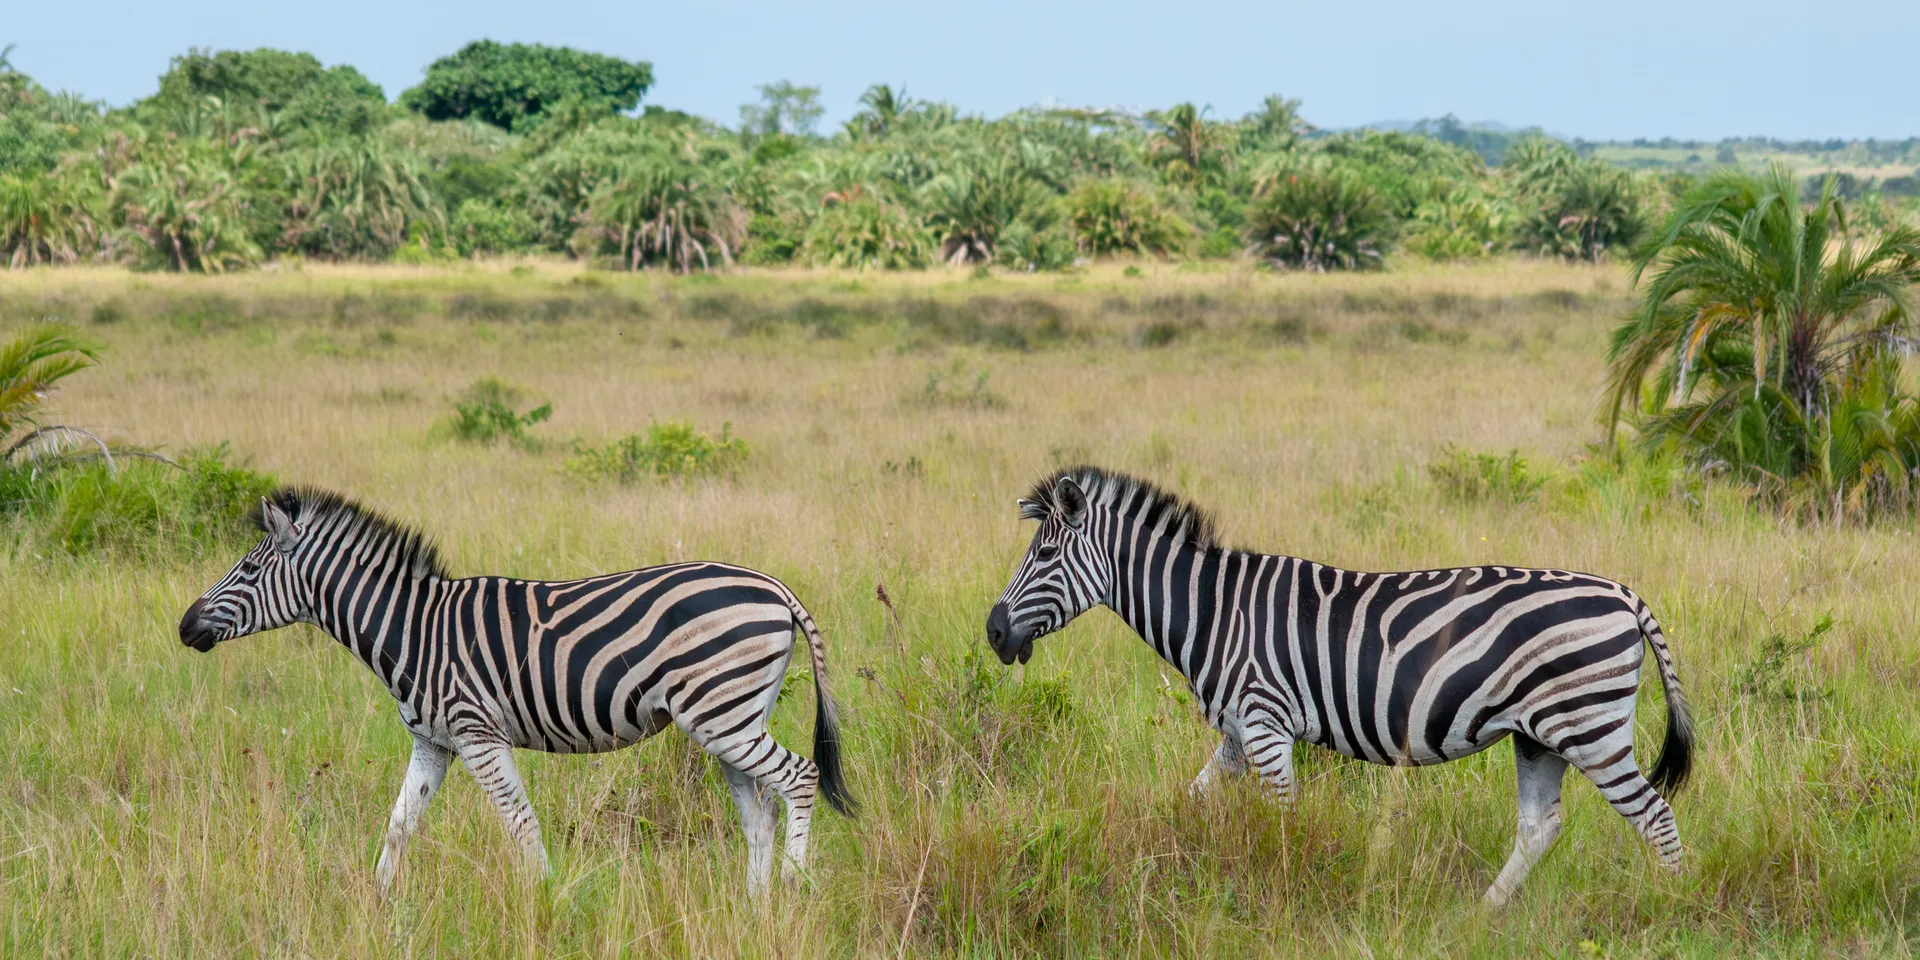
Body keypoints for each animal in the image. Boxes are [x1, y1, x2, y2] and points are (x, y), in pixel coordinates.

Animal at [178, 487, 854, 897]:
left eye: (248, 570)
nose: (185, 627)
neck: (413, 630)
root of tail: (773, 586)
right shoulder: (434, 743)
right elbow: (400, 826)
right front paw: (377, 904)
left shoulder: (478, 734)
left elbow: (520, 825)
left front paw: (548, 904)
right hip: (728, 716)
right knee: (760, 811)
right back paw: (753, 909)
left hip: (723, 713)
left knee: (800, 776)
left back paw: (790, 892)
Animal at [984, 466, 1693, 906]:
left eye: (1044, 556)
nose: (992, 632)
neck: (1214, 610)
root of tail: (1623, 593)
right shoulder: (1238, 731)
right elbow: (1191, 802)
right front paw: (1160, 862)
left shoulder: (1265, 722)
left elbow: (1283, 823)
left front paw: (1282, 893)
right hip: (1538, 735)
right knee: (1539, 828)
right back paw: (1478, 916)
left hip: (1589, 727)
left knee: (1654, 815)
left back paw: (1672, 908)